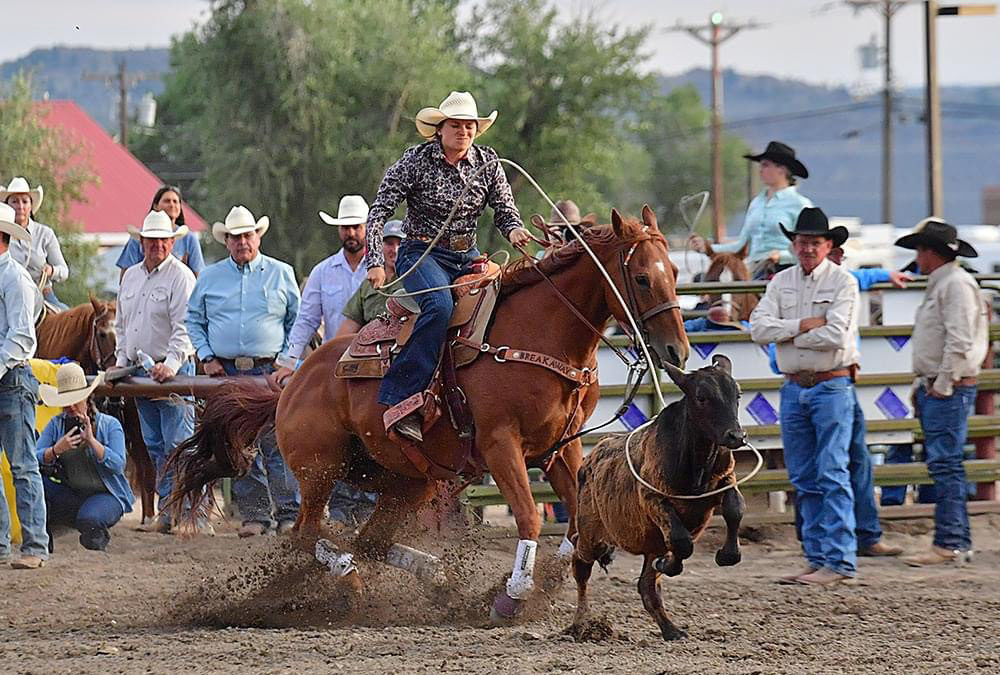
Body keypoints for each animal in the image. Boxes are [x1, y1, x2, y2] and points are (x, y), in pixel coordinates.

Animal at [168, 207, 692, 624]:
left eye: (673, 273)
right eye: (641, 278)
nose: (677, 351)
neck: (539, 333)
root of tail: (291, 382)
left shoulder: (562, 449)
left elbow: (580, 522)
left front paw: (541, 582)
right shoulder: (501, 445)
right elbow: (529, 516)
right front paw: (512, 596)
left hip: (407, 480)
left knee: (369, 540)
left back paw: (435, 576)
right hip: (320, 470)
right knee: (307, 534)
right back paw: (352, 581)